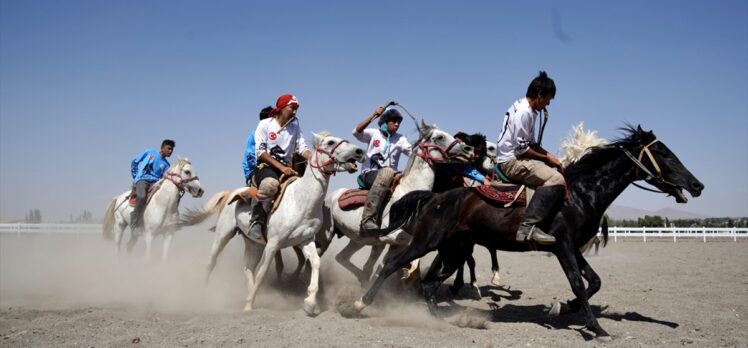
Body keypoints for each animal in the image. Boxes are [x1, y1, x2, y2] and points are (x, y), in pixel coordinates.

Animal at [181, 132, 362, 314]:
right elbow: (263, 272)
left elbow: (315, 262)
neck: (301, 201)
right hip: (223, 234)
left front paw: (310, 303)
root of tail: (230, 193)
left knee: (248, 268)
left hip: (254, 243)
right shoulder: (273, 244)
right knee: (211, 263)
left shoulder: (305, 240)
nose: (359, 151)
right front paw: (249, 305)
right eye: (330, 142)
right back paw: (206, 295)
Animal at [322, 121, 474, 284]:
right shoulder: (390, 236)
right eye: (440, 137)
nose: (468, 149)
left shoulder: (393, 243)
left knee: (342, 257)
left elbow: (386, 263)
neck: (409, 193)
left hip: (358, 240)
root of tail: (332, 196)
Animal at [354, 125, 704, 340]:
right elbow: (579, 283)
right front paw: (596, 327)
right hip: (428, 241)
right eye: (665, 154)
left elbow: (594, 281)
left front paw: (563, 307)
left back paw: (441, 318)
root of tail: (434, 197)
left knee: (429, 283)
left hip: (454, 250)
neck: (579, 192)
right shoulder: (561, 245)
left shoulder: (572, 246)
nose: (697, 185)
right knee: (393, 265)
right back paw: (362, 303)